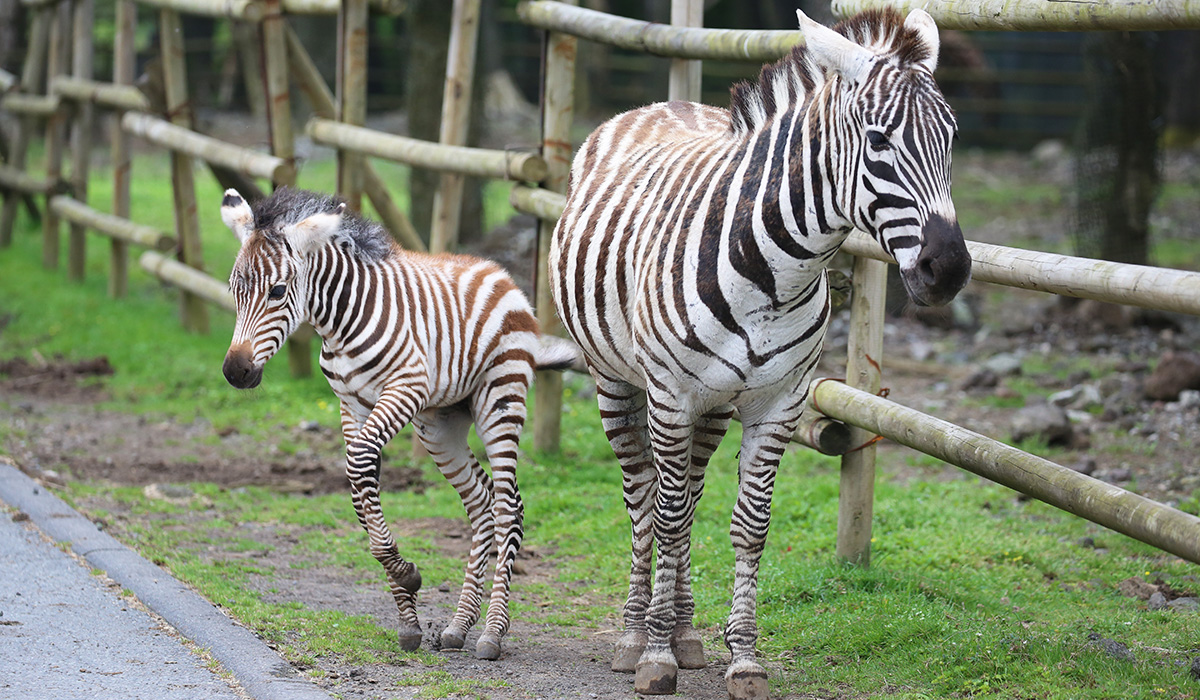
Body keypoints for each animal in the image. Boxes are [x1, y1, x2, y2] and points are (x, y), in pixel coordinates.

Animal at [222, 187, 576, 662]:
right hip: (440, 426)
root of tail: (499, 272)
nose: (235, 372)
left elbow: (359, 467)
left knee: (508, 506)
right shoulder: (350, 405)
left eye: (278, 290)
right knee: (481, 503)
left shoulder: (404, 389)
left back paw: (492, 633)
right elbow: (360, 487)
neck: (340, 323)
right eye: (233, 289)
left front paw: (407, 579)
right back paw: (459, 625)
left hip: (500, 401)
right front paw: (408, 617)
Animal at [552, 6, 974, 700]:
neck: (778, 275)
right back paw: (637, 633)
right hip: (616, 380)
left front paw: (743, 659)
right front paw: (655, 659)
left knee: (689, 493)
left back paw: (686, 633)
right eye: (878, 141)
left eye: (952, 137)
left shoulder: (779, 403)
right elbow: (666, 515)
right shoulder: (671, 396)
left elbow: (747, 528)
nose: (950, 271)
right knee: (644, 497)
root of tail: (664, 102)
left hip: (717, 404)